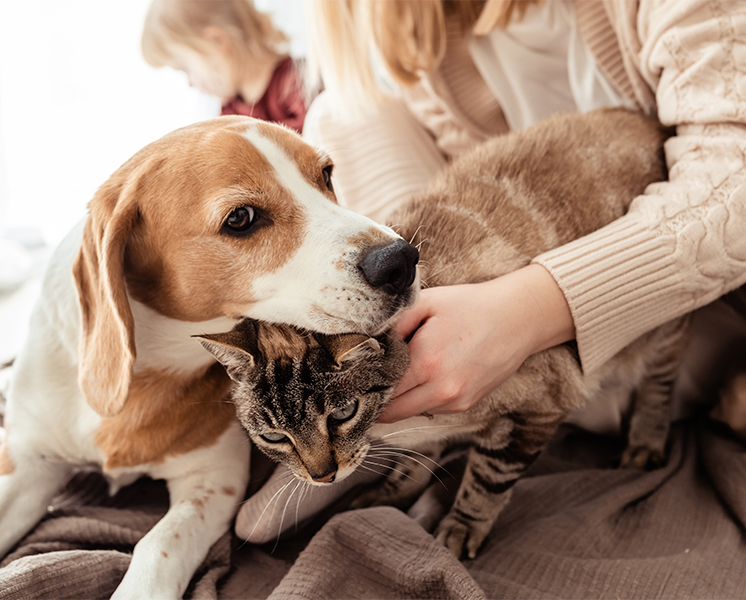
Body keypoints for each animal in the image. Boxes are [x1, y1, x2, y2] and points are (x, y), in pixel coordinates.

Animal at [0, 115, 418, 596]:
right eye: (241, 218)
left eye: (327, 174)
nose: (402, 260)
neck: (143, 375)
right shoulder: (27, 466)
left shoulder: (213, 482)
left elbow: (156, 545)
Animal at [196, 106, 684, 556]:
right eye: (274, 438)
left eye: (342, 414)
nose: (324, 477)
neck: (390, 418)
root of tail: (648, 119)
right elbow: (417, 462)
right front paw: (387, 494)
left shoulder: (537, 411)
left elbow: (486, 482)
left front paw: (459, 530)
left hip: (659, 333)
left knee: (660, 385)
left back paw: (645, 443)